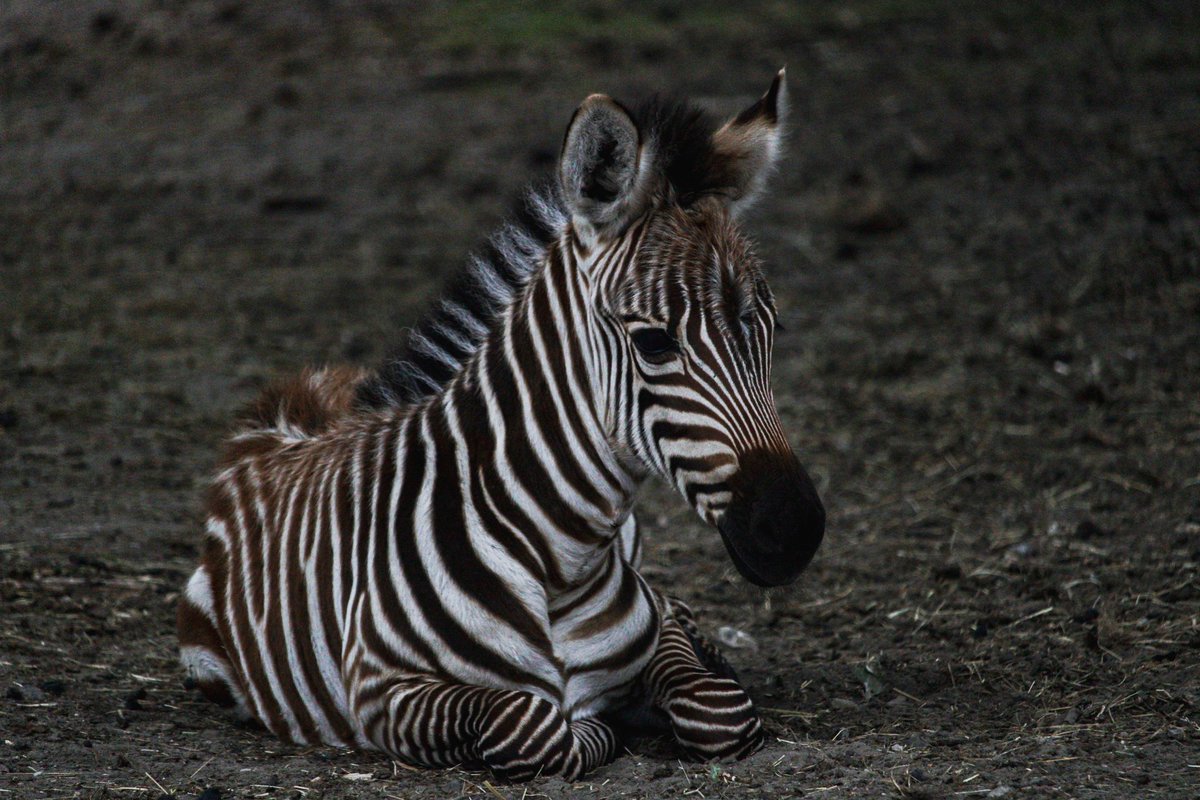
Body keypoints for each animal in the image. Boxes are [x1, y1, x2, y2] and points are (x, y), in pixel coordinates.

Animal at [177, 69, 826, 781]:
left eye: (773, 330)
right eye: (654, 343)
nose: (795, 528)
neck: (561, 560)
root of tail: (296, 400)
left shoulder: (655, 635)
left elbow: (719, 708)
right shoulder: (380, 691)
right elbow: (531, 727)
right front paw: (601, 728)